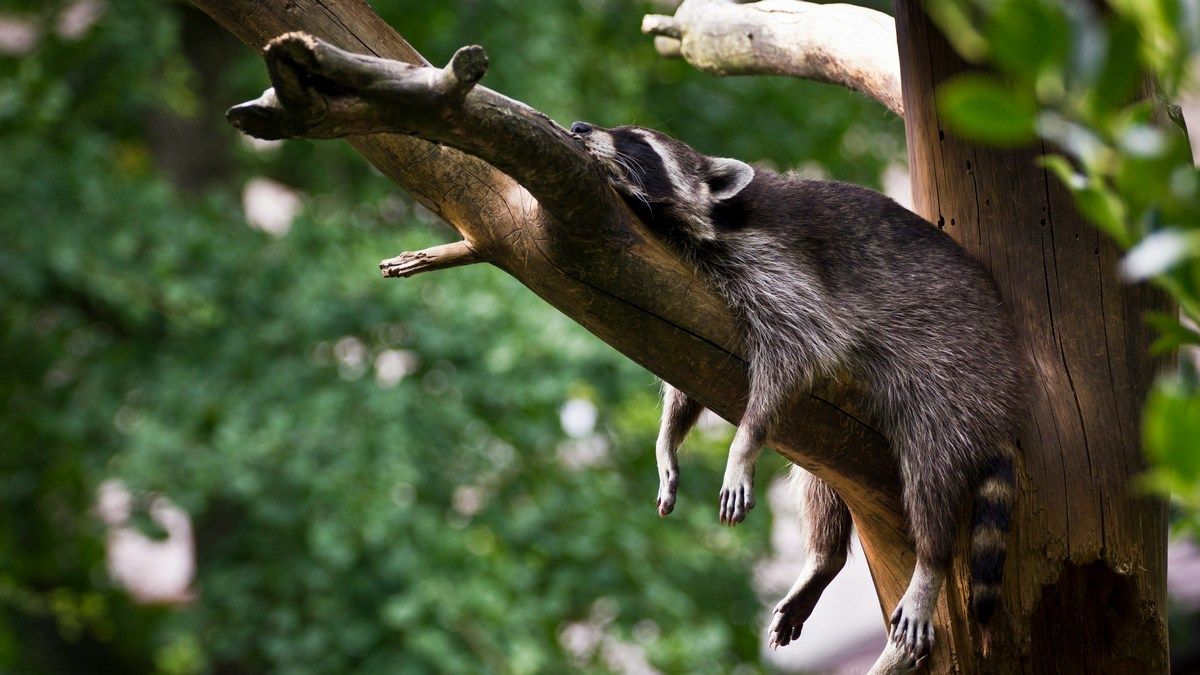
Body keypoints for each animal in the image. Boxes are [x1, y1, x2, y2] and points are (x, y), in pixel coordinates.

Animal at [568, 121, 1022, 662]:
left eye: (635, 140)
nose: (579, 127)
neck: (715, 219)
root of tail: (1008, 385)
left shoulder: (782, 270)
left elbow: (796, 356)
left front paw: (743, 444)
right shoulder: (692, 295)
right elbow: (687, 371)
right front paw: (668, 439)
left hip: (956, 376)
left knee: (930, 470)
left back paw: (930, 561)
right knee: (820, 479)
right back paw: (823, 558)